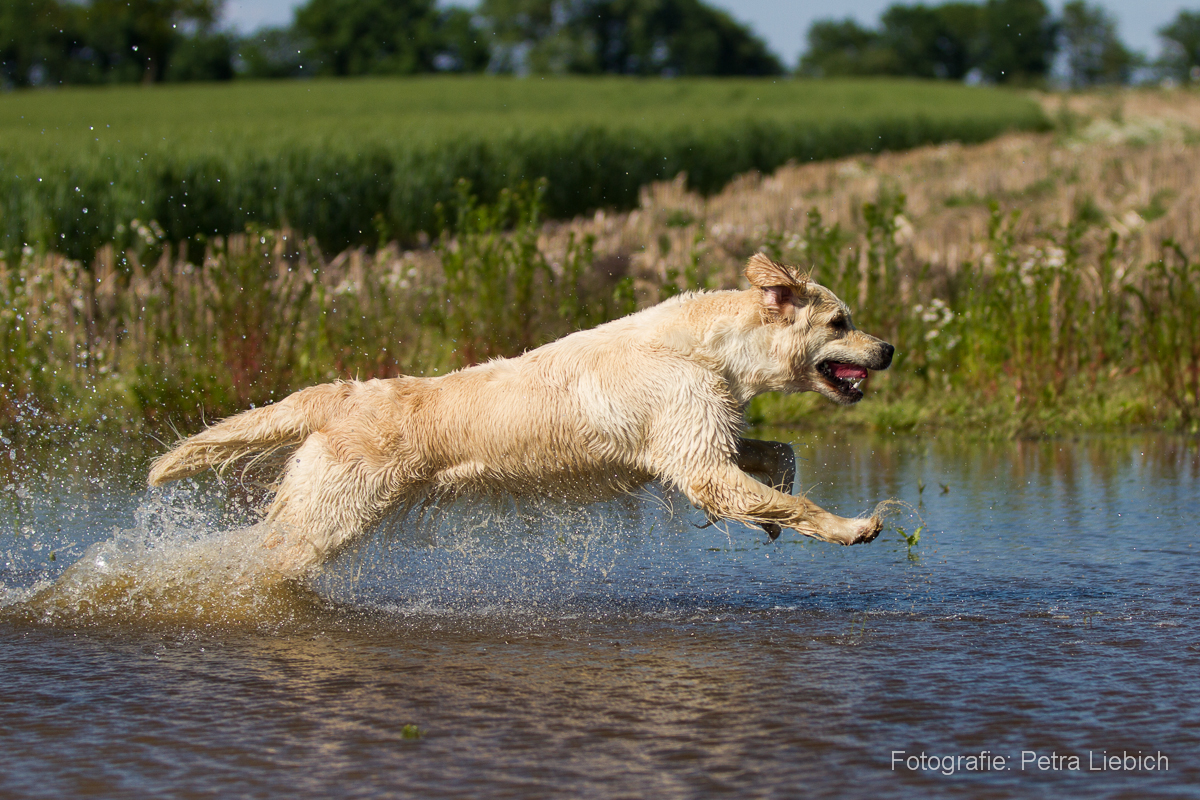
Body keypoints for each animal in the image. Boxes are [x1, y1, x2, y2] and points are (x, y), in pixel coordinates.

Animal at [150, 256, 892, 575]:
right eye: (841, 321)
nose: (888, 348)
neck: (712, 347)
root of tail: (346, 392)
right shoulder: (697, 460)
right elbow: (794, 502)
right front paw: (853, 527)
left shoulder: (700, 442)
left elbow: (780, 456)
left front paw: (770, 511)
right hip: (328, 517)